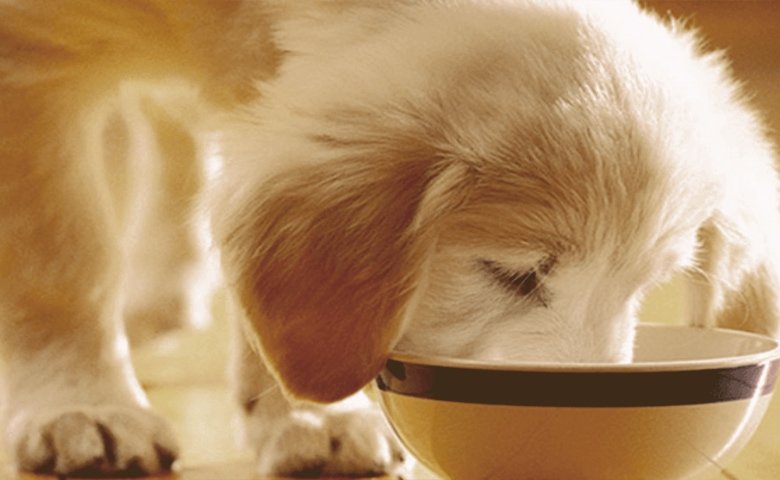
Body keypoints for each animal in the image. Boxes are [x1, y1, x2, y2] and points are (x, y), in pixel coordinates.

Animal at [1, 0, 780, 478]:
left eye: (644, 288)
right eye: (511, 274)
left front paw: (305, 413)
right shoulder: (30, 55)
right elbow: (62, 261)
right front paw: (84, 404)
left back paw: (165, 294)